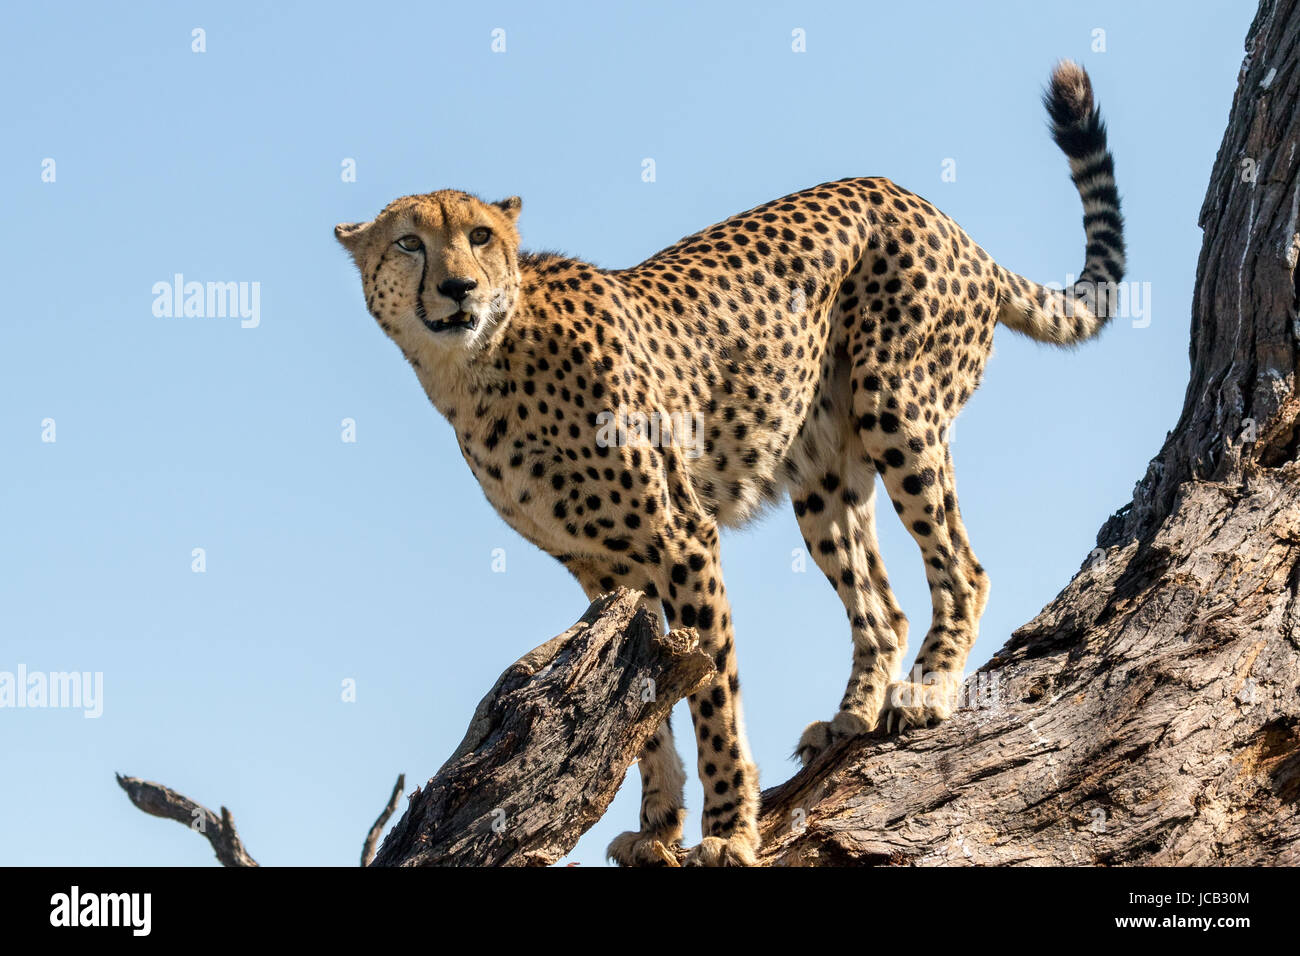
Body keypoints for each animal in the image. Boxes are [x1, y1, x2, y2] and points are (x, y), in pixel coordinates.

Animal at [338, 61, 1128, 868]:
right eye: (408, 243)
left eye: (480, 236)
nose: (460, 286)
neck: (478, 369)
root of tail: (935, 213)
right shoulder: (604, 573)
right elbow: (640, 714)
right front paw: (658, 828)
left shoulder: (682, 539)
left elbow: (713, 696)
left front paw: (727, 830)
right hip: (823, 478)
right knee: (882, 606)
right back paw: (851, 716)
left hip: (898, 408)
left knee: (963, 568)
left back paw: (927, 692)